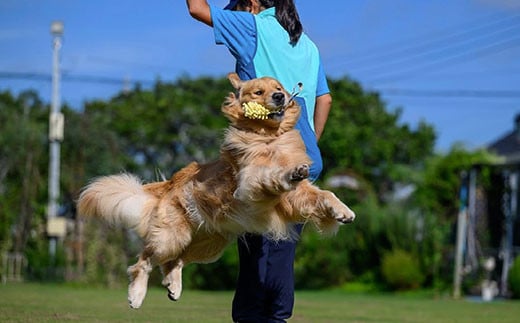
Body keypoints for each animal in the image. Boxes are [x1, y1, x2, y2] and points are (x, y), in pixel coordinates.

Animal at [76, 73, 354, 308]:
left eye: (278, 87)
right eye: (258, 92)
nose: (279, 97)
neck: (269, 136)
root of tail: (170, 183)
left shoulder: (296, 196)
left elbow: (324, 195)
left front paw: (343, 211)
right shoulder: (251, 182)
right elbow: (271, 174)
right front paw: (290, 172)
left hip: (209, 243)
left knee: (175, 260)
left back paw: (173, 286)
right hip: (171, 237)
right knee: (143, 261)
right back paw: (136, 295)